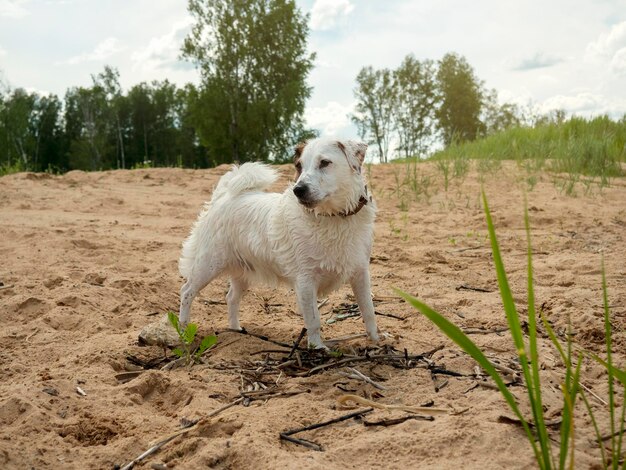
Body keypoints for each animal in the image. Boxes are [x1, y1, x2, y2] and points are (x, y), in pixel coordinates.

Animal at [178, 138, 378, 346]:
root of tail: (224, 197)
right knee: (186, 292)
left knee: (231, 297)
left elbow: (368, 310)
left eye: (324, 162)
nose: (298, 190)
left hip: (242, 271)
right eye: (299, 166)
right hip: (207, 265)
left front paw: (377, 340)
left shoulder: (361, 272)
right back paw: (183, 333)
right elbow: (313, 320)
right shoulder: (305, 281)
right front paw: (317, 347)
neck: (333, 218)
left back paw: (235, 331)